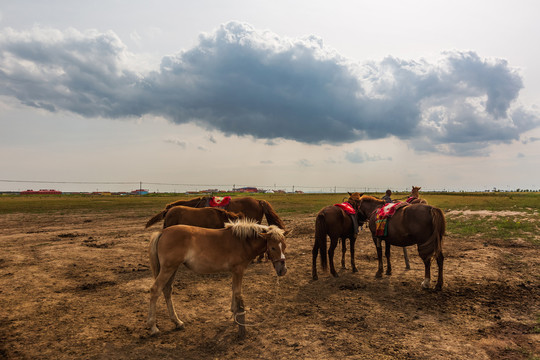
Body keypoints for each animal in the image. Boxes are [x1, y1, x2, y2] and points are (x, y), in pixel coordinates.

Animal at [146, 218, 288, 338]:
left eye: (284, 246)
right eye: (273, 247)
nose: (283, 270)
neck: (242, 242)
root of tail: (162, 232)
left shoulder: (234, 272)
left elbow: (234, 290)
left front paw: (233, 313)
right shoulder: (238, 270)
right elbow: (237, 291)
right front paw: (237, 317)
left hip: (172, 269)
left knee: (167, 290)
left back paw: (177, 322)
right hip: (168, 268)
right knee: (155, 290)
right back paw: (153, 327)